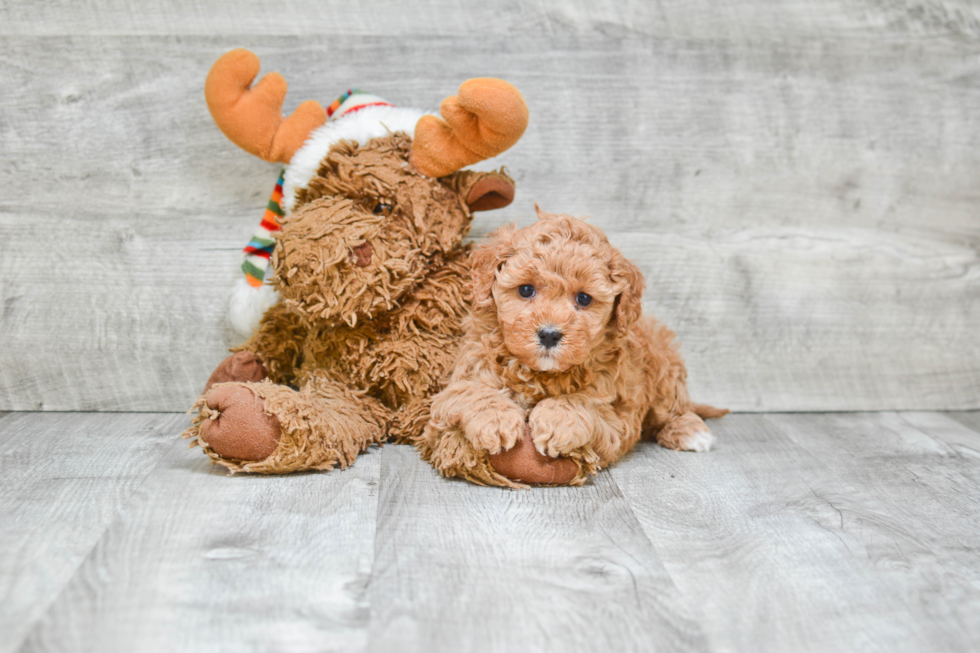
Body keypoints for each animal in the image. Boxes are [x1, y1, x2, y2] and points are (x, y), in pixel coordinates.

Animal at [418, 206, 724, 486]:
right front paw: (495, 418)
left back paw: (691, 431)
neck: (539, 374)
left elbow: (583, 403)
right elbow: (470, 391)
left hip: (664, 367)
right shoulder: (449, 394)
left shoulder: (617, 420)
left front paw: (556, 420)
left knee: (674, 408)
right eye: (526, 290)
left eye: (584, 299)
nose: (549, 334)